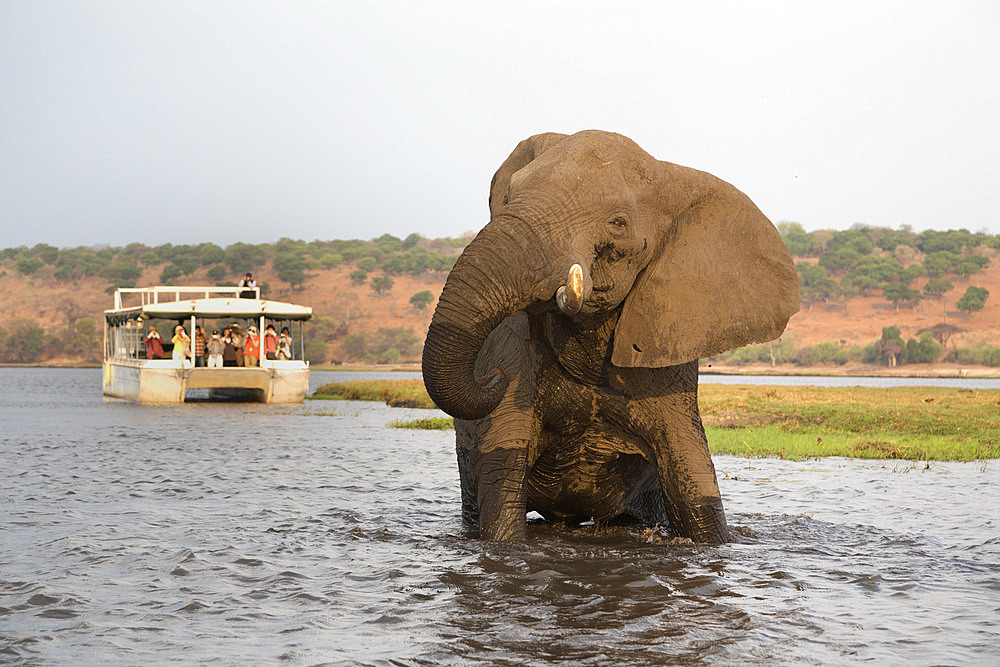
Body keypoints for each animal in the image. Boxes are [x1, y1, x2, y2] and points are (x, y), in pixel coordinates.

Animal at [420, 132, 796, 548]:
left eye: (618, 223)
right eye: (508, 198)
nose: (492, 378)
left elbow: (696, 486)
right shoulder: (513, 349)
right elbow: (503, 486)